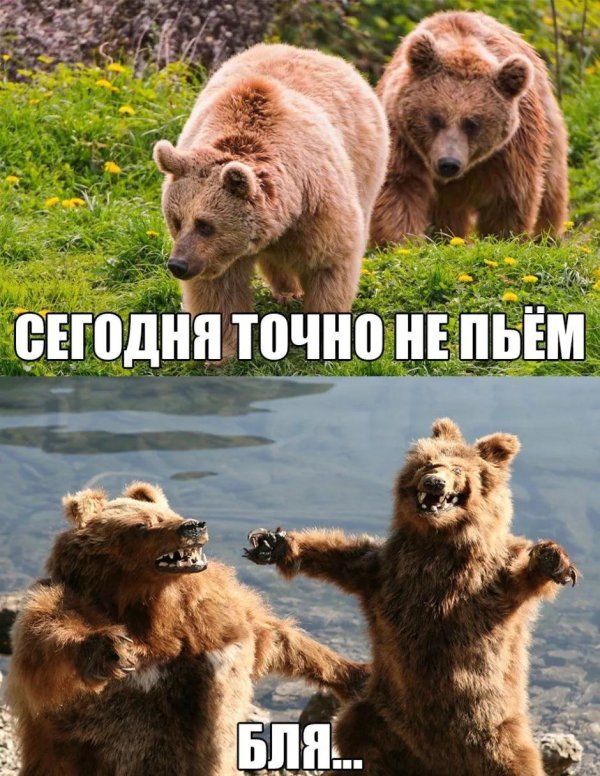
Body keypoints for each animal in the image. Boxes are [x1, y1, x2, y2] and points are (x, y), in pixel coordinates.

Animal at [6, 482, 368, 776]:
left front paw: (354, 674)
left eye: (168, 512)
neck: (152, 606)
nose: (193, 525)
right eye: (143, 525)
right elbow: (44, 646)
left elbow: (271, 636)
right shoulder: (68, 605)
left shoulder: (211, 617)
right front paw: (110, 649)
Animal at [153, 43, 389, 357]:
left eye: (205, 225)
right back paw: (286, 290)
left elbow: (330, 264)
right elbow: (218, 291)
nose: (178, 264)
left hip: (366, 166)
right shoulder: (217, 255)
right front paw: (221, 352)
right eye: (177, 221)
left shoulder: (318, 208)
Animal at [245, 418, 579, 776]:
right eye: (428, 463)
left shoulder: (488, 582)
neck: (438, 542)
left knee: (514, 762)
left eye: (457, 468)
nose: (434, 481)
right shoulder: (386, 571)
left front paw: (551, 559)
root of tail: (436, 763)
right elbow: (341, 556)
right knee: (356, 737)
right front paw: (273, 543)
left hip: (493, 732)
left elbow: (522, 576)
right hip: (380, 718)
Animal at [371, 11, 569, 243]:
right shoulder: (402, 138)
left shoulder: (509, 150)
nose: (448, 163)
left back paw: (547, 236)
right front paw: (401, 241)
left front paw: (502, 237)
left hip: (548, 124)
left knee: (552, 185)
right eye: (435, 118)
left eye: (472, 123)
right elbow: (400, 186)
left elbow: (508, 197)